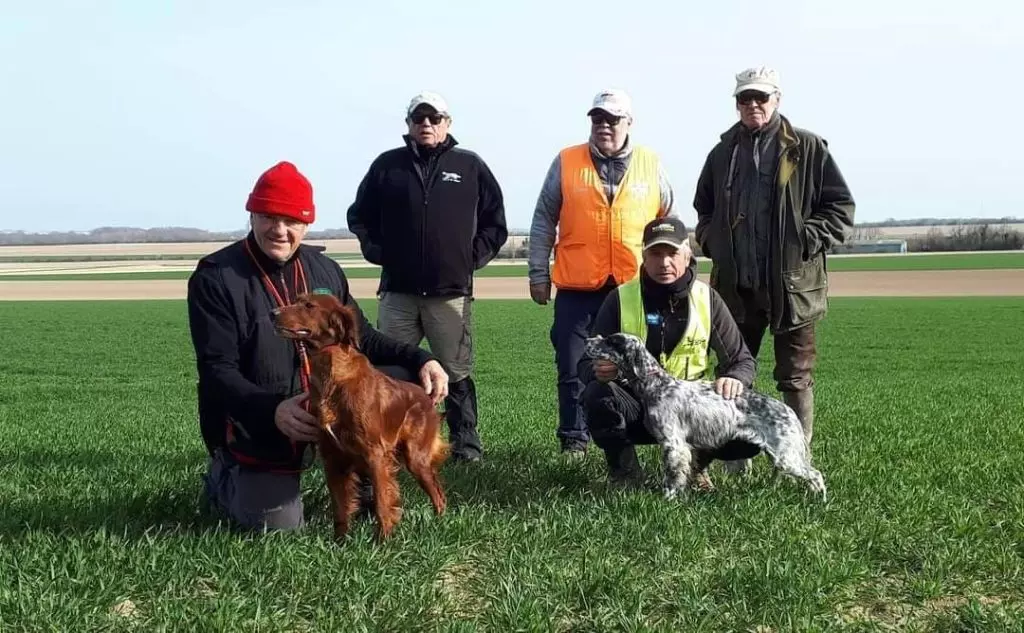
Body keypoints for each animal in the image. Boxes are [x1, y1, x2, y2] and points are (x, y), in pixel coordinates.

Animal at [272, 290, 448, 536]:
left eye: (308, 305)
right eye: (297, 301)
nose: (273, 313)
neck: (332, 377)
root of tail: (426, 396)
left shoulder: (376, 454)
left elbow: (382, 504)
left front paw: (383, 541)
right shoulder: (332, 457)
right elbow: (340, 507)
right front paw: (340, 541)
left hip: (416, 457)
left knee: (438, 493)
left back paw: (440, 525)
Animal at [581, 331, 827, 499]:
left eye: (611, 341)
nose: (587, 340)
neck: (656, 385)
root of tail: (788, 410)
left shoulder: (674, 444)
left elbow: (673, 475)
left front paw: (668, 498)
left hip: (786, 457)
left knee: (816, 475)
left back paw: (820, 502)